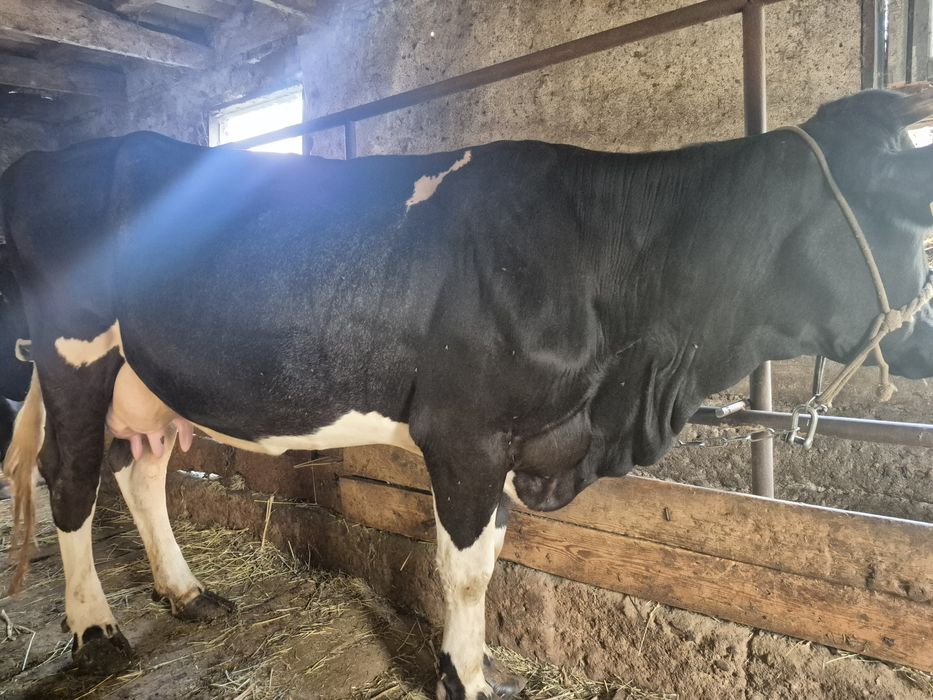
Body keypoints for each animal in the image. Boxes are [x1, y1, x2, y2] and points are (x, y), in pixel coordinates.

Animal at [1, 88, 932, 699]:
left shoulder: (522, 435)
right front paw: (462, 677)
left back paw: (187, 592)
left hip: (144, 377)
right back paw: (95, 632)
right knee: (72, 479)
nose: (921, 340)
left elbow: (492, 557)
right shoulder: (466, 433)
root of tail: (56, 157)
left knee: (140, 471)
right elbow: (465, 570)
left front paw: (477, 669)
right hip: (73, 352)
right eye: (908, 212)